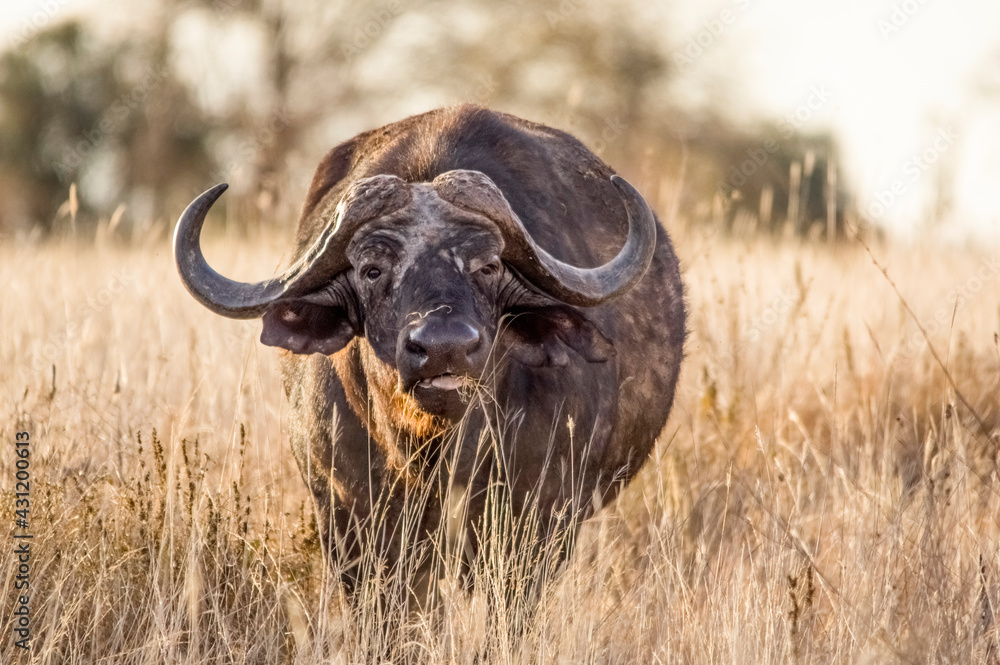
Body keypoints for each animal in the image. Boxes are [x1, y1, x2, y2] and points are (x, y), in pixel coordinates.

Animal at [174, 104, 685, 606]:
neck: (426, 451)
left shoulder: (535, 524)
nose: (444, 347)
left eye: (488, 266)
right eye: (372, 269)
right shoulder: (349, 520)